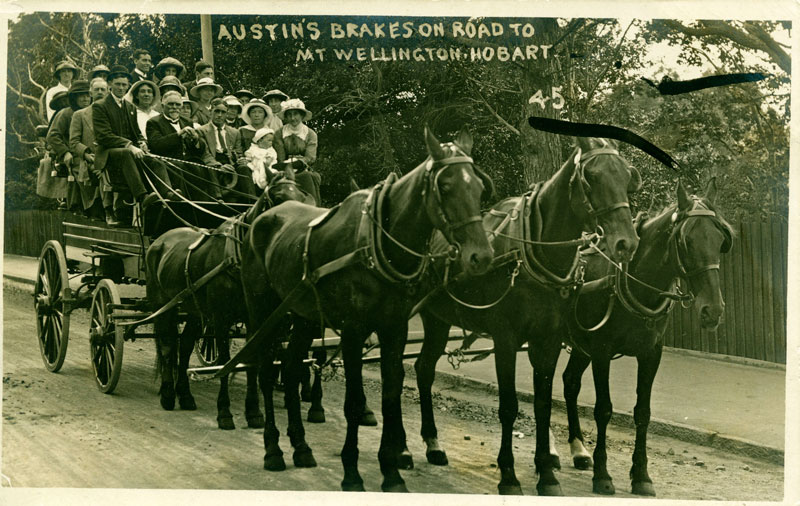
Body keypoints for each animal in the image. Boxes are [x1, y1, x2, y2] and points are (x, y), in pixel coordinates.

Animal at [144, 168, 310, 428]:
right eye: (278, 198)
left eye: (303, 197)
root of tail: (159, 241)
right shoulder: (221, 319)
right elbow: (224, 360)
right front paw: (224, 412)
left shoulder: (254, 320)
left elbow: (250, 361)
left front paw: (253, 412)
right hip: (162, 304)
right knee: (168, 345)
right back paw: (169, 394)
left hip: (194, 310)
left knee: (185, 347)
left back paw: (185, 394)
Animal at [241, 126, 496, 490]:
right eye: (445, 187)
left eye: (478, 186)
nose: (482, 256)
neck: (379, 243)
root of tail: (259, 220)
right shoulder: (353, 330)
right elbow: (354, 402)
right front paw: (352, 472)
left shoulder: (394, 328)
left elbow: (390, 394)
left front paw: (391, 472)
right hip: (263, 310)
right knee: (263, 370)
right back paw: (273, 448)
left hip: (303, 314)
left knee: (289, 369)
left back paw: (301, 446)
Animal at [410, 137, 640, 494]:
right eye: (592, 177)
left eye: (628, 176)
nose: (626, 242)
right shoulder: (505, 338)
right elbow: (509, 407)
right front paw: (509, 475)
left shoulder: (548, 339)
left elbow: (543, 404)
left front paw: (546, 473)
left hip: (440, 320)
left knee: (423, 368)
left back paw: (433, 444)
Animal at [564, 180, 732, 496]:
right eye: (686, 241)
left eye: (720, 240)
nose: (713, 310)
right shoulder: (602, 351)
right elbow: (603, 409)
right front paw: (603, 475)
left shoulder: (651, 353)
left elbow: (643, 412)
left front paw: (641, 475)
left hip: (580, 345)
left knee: (569, 383)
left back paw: (578, 450)